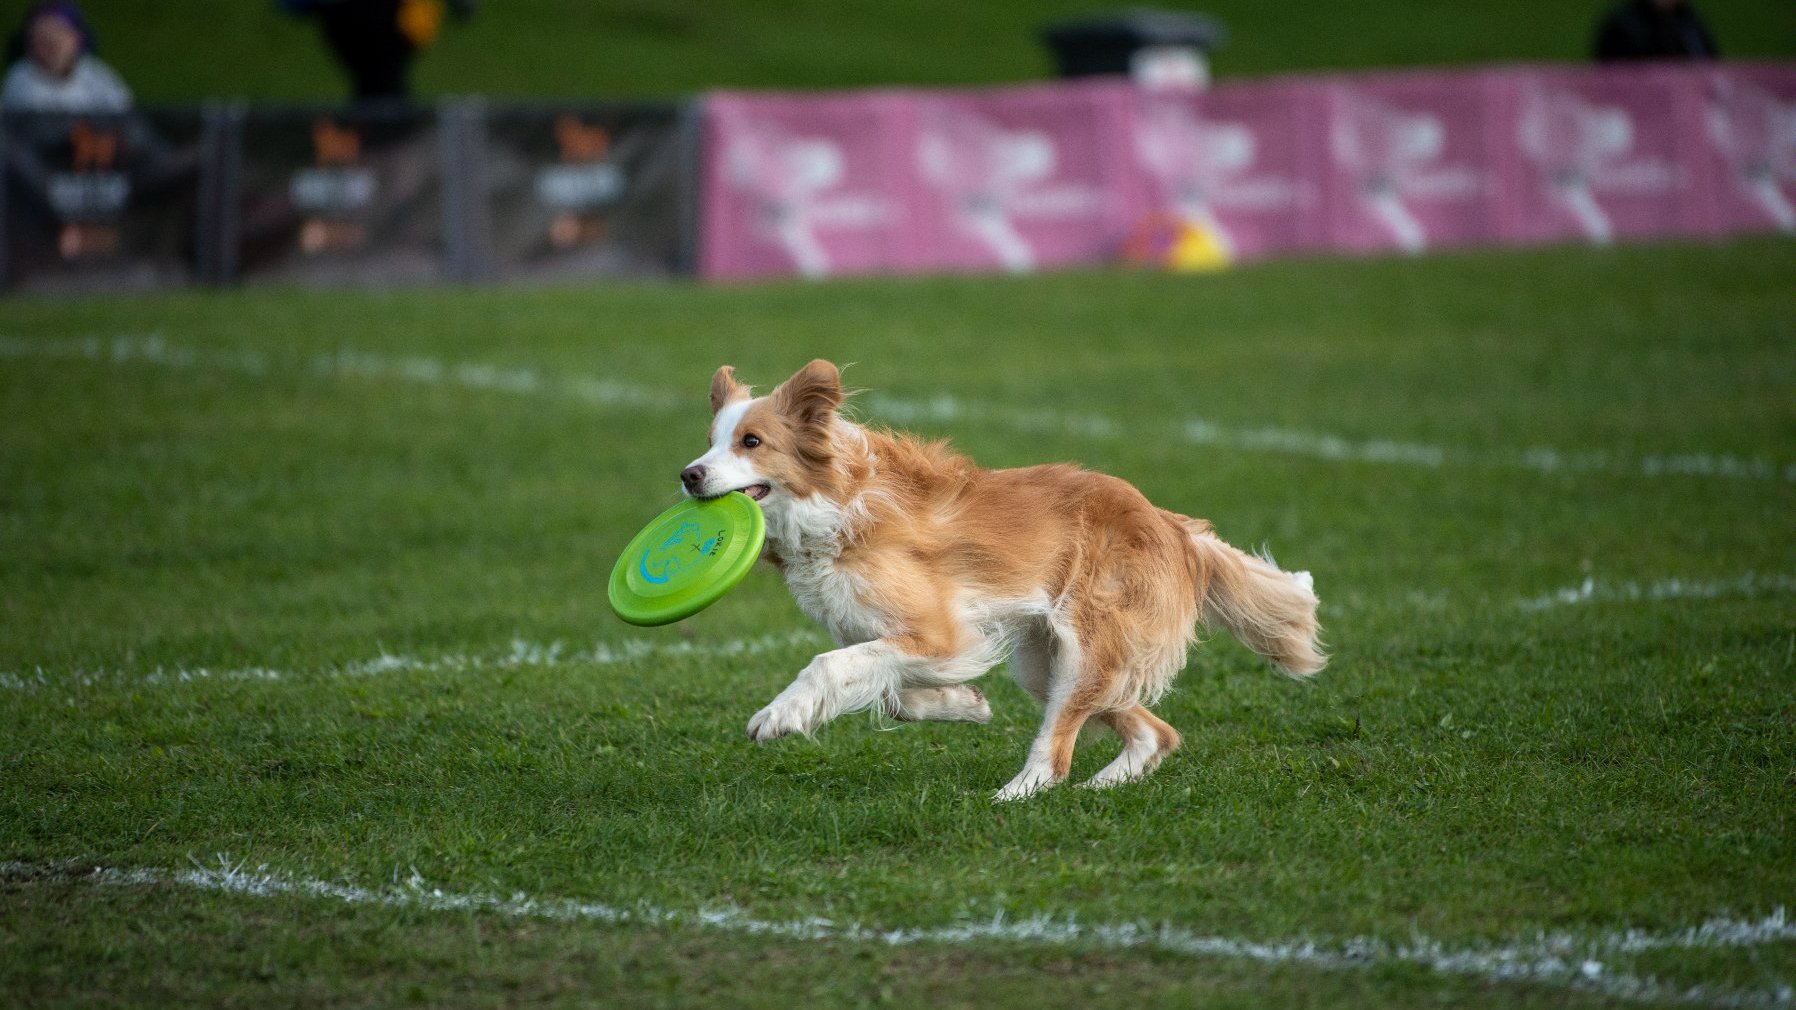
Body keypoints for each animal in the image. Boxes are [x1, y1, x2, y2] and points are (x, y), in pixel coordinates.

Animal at [678, 357, 1329, 797]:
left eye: (752, 441)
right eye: (709, 442)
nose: (688, 475)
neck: (833, 510)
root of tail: (1174, 525)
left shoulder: (940, 633)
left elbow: (830, 666)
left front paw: (778, 716)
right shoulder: (880, 633)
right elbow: (896, 697)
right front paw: (964, 705)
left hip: (1085, 646)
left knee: (1059, 749)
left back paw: (1017, 794)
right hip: (1048, 664)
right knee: (1153, 730)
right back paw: (1105, 785)